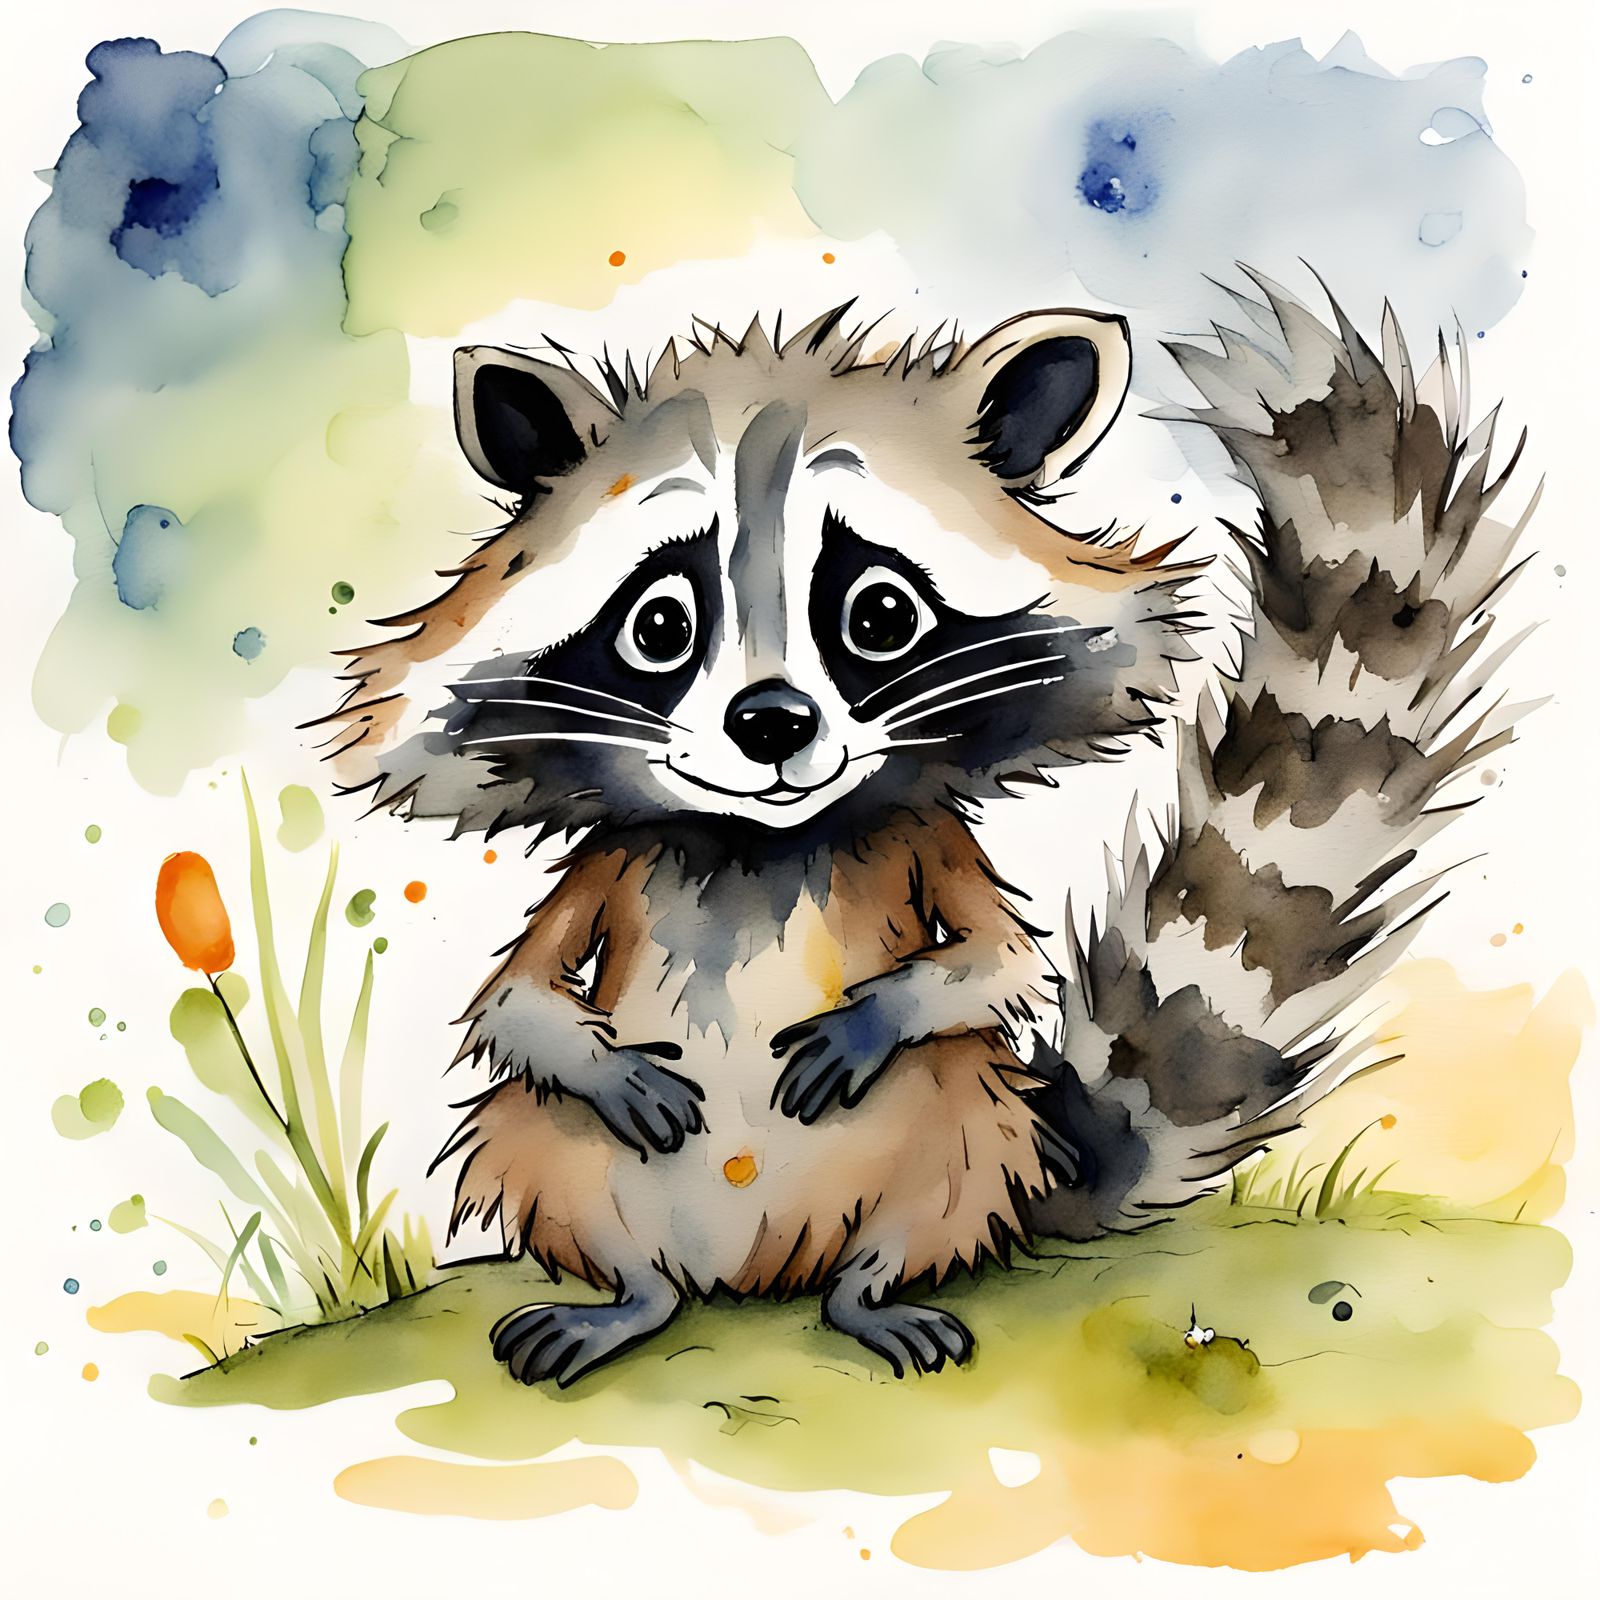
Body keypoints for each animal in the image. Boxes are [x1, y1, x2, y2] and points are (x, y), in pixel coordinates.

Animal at [318, 281, 1531, 1384]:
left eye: (880, 615)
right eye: (660, 625)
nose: (771, 725)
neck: (760, 842)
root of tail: (752, 1271)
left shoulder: (925, 839)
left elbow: (995, 962)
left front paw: (875, 1019)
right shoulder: (610, 863)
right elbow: (518, 997)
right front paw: (596, 1060)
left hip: (955, 1136)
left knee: (945, 1140)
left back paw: (870, 1290)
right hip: (572, 1165)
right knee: (544, 1130)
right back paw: (629, 1294)